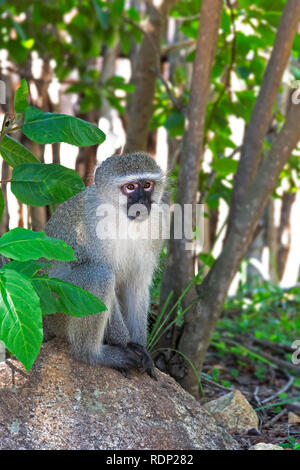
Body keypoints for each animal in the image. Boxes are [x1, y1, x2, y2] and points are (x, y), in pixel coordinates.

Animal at [44, 154, 166, 378]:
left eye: (147, 185)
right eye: (130, 187)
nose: (142, 203)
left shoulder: (158, 224)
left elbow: (137, 284)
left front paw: (141, 347)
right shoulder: (91, 226)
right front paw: (125, 343)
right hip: (57, 307)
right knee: (99, 275)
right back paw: (93, 354)